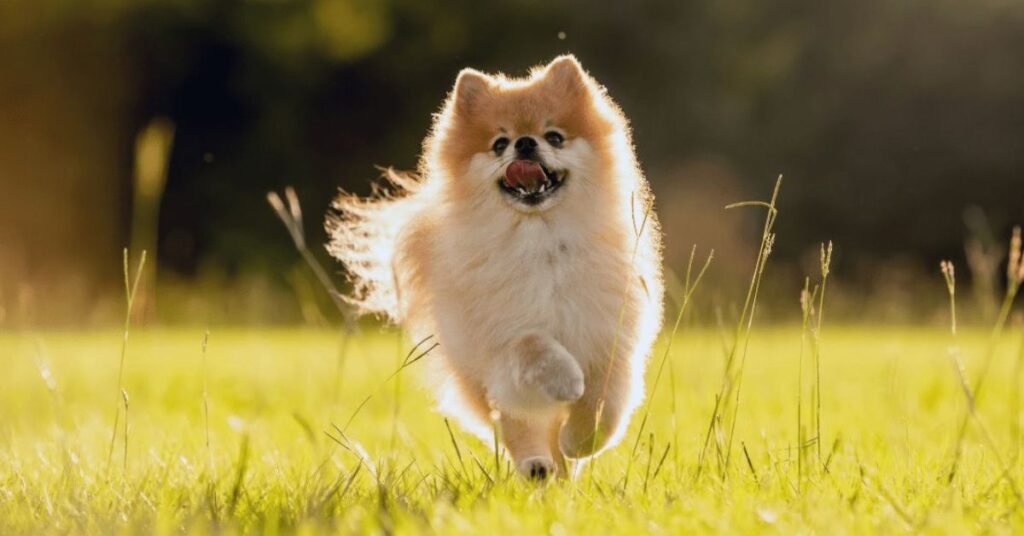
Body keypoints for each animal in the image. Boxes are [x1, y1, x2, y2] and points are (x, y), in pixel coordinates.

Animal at [327, 55, 663, 481]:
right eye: (499, 143)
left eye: (554, 137)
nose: (525, 143)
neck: (541, 241)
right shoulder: (498, 339)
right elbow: (533, 344)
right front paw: (567, 380)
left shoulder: (609, 337)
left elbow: (605, 406)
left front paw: (580, 441)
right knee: (518, 427)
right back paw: (537, 465)